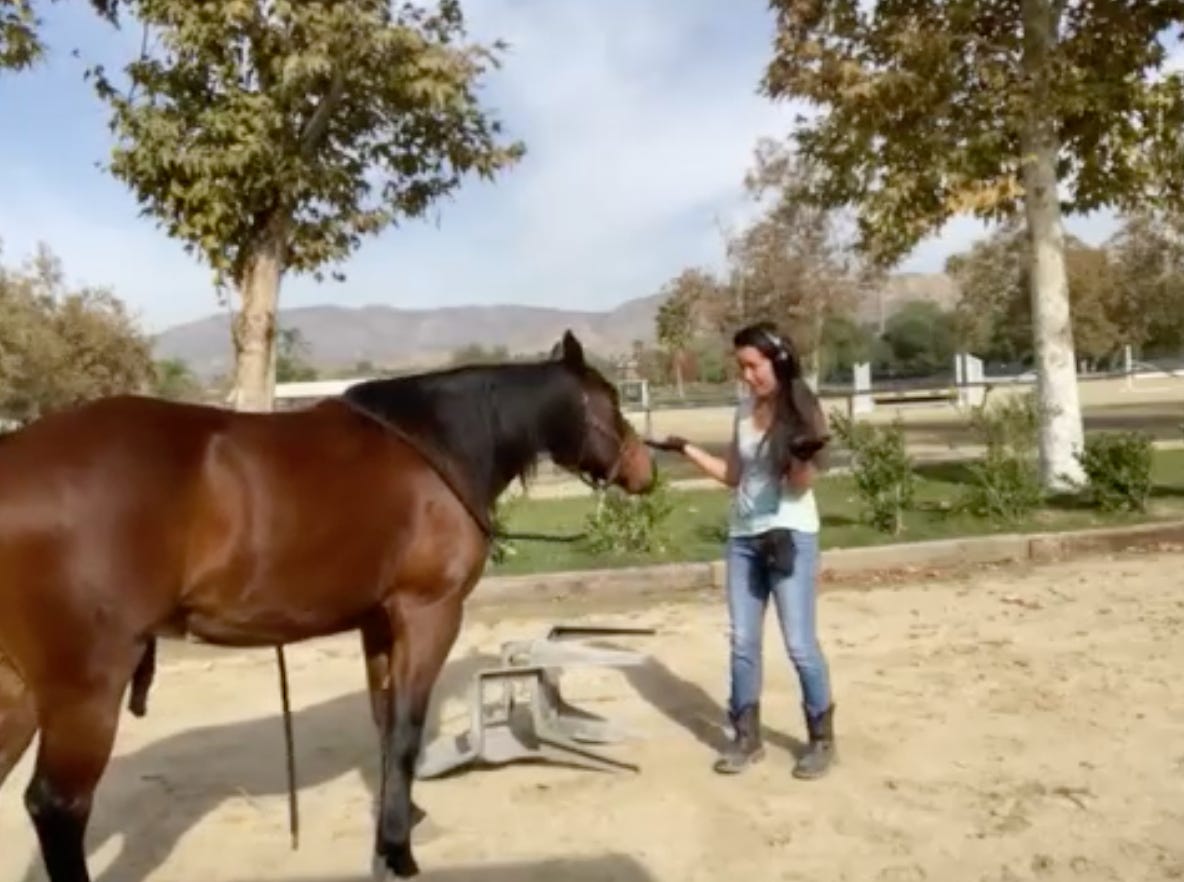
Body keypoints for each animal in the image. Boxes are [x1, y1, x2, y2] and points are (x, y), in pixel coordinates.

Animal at [0, 331, 658, 880]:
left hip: (20, 690)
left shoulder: (379, 621)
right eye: (609, 399)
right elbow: (405, 730)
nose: (646, 469)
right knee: (57, 805)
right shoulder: (429, 614)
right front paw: (398, 853)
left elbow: (384, 722)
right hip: (86, 690)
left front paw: (400, 824)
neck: (436, 446)